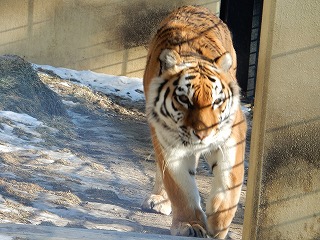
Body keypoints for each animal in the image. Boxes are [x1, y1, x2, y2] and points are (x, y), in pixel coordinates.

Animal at [141, 5, 246, 238]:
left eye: (217, 101)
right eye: (184, 99)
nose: (203, 134)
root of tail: (194, 6)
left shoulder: (232, 136)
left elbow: (228, 185)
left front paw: (218, 226)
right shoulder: (169, 145)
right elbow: (181, 189)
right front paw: (189, 224)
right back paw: (158, 200)